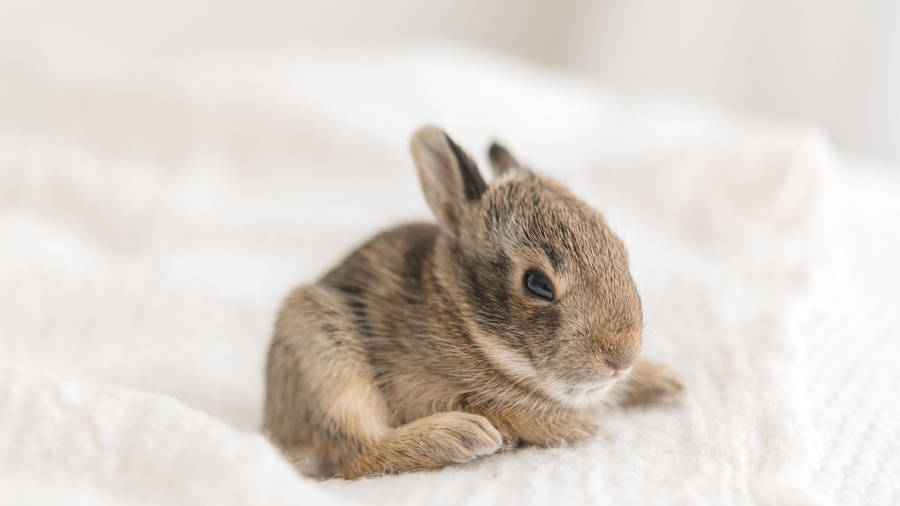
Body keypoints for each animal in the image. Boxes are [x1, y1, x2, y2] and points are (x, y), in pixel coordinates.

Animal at [263, 125, 684, 479]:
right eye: (537, 284)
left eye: (621, 252)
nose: (620, 360)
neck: (462, 319)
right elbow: (505, 408)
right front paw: (577, 426)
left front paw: (665, 381)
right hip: (320, 345)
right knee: (356, 454)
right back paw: (459, 437)